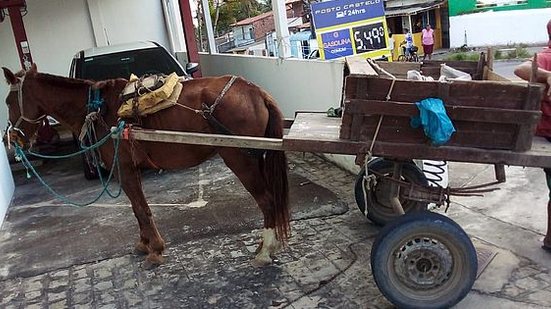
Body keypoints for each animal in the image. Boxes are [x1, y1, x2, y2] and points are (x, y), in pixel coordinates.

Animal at [2, 63, 292, 266]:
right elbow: (136, 208)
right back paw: (266, 244)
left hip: (240, 159)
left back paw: (265, 251)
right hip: (256, 157)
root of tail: (255, 91)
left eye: (7, 101)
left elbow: (141, 209)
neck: (98, 108)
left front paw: (155, 250)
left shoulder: (124, 167)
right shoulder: (130, 168)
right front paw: (144, 244)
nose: (12, 138)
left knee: (267, 200)